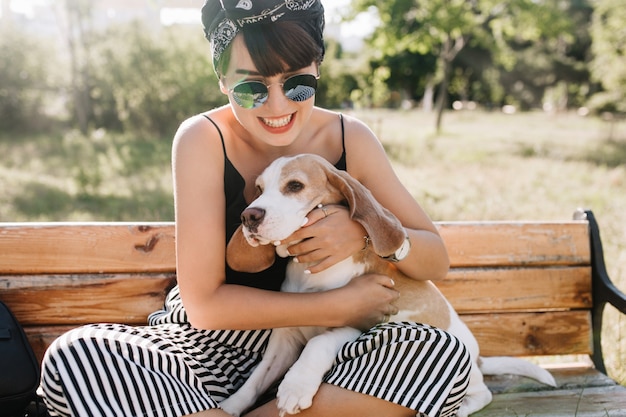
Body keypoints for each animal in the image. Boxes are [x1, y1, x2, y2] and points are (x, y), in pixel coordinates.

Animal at [218, 154, 552, 416]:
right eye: (259, 189)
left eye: (295, 186)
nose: (249, 216)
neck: (308, 273)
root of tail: (479, 357)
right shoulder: (285, 339)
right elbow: (257, 377)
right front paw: (232, 406)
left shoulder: (358, 324)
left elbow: (317, 343)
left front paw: (296, 387)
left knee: (484, 393)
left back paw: (464, 407)